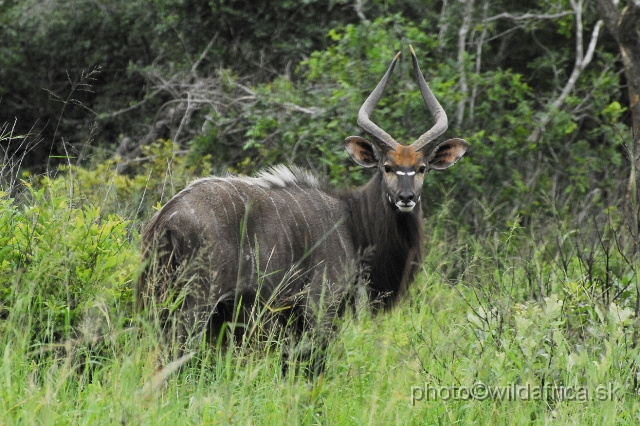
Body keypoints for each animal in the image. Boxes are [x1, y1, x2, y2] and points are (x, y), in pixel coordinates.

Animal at [140, 46, 468, 376]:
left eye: (422, 168)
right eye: (387, 167)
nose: (406, 197)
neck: (351, 220)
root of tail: (166, 219)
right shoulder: (319, 305)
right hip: (195, 304)